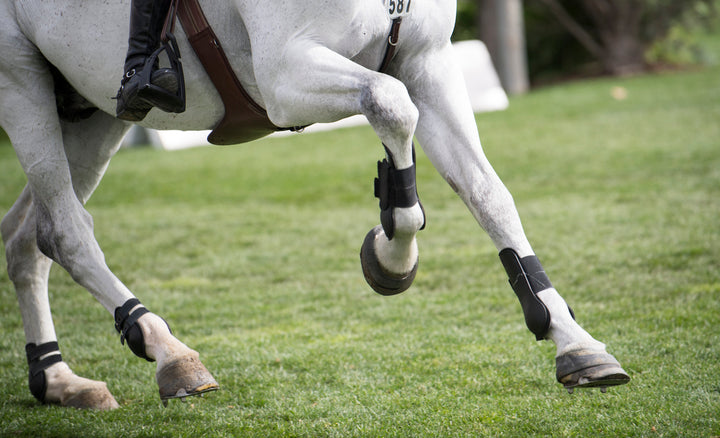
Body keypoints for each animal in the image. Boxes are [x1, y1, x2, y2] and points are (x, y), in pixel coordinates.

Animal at [0, 0, 629, 410]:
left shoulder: (428, 62)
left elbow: (487, 194)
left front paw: (573, 341)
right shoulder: (286, 74)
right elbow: (389, 103)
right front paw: (392, 257)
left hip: (94, 110)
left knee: (28, 238)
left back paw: (60, 382)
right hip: (20, 83)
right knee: (65, 232)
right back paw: (168, 352)